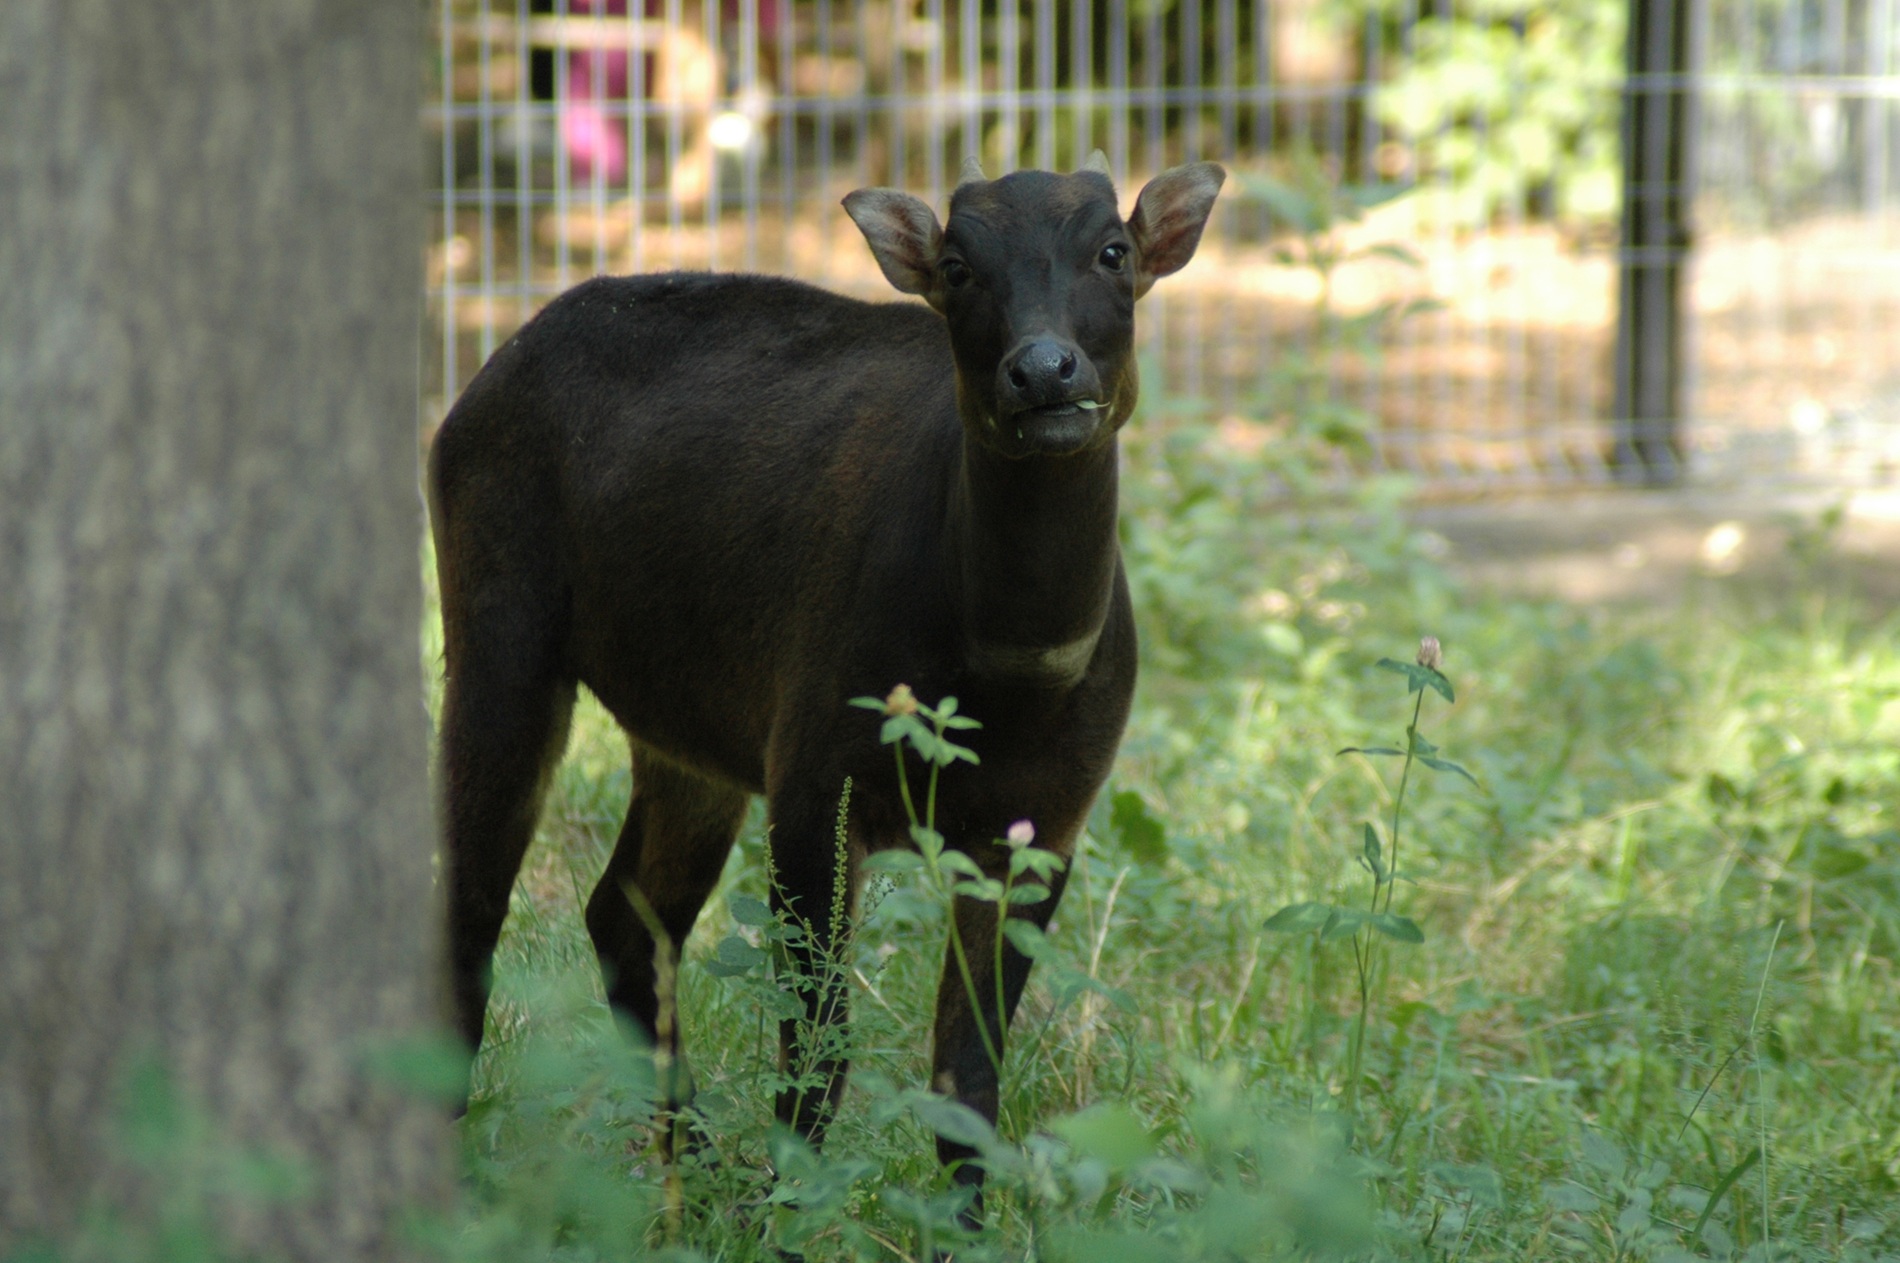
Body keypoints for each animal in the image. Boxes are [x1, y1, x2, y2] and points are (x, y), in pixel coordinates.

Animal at [427, 153, 1225, 1195]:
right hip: (498, 642)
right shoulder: (813, 787)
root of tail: (480, 383)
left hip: (687, 737)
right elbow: (816, 1057)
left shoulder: (1044, 826)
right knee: (472, 906)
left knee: (624, 916)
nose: (1044, 369)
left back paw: (696, 1169)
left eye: (1113, 250)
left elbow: (966, 1076)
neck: (1002, 682)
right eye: (959, 265)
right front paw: (789, 1208)